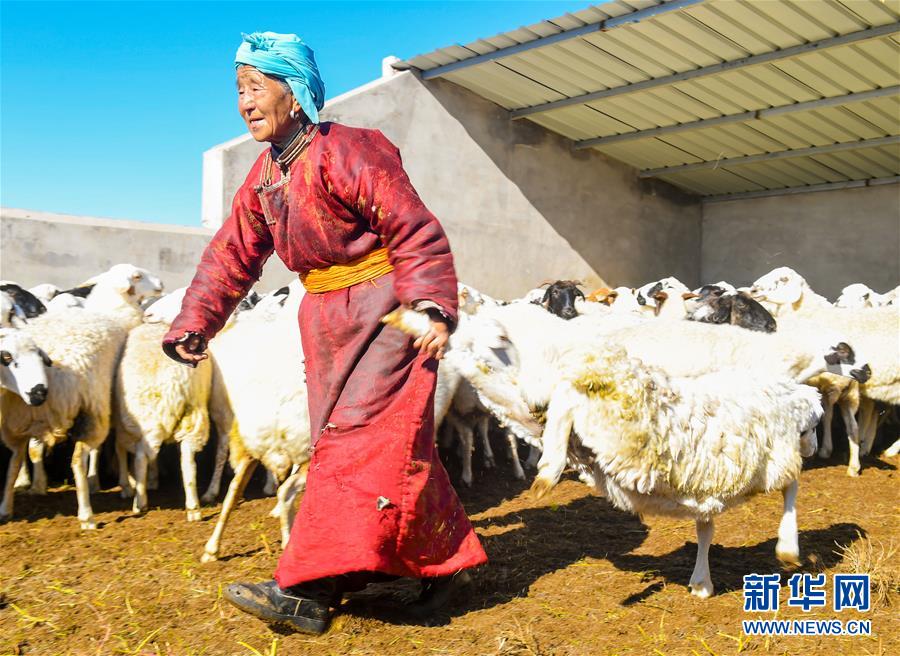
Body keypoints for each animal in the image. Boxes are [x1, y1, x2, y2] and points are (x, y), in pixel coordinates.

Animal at [0, 313, 126, 528]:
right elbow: (14, 466)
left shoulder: (88, 418)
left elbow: (76, 462)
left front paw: (86, 516)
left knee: (98, 450)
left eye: (40, 356)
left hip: (99, 409)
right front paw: (6, 508)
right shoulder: (16, 429)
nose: (39, 392)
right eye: (6, 356)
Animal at [528, 344, 822, 598]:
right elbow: (792, 486)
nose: (815, 448)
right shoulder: (777, 460)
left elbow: (705, 530)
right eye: (813, 429)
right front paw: (788, 547)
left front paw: (701, 582)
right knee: (566, 397)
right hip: (620, 424)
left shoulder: (706, 493)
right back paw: (549, 468)